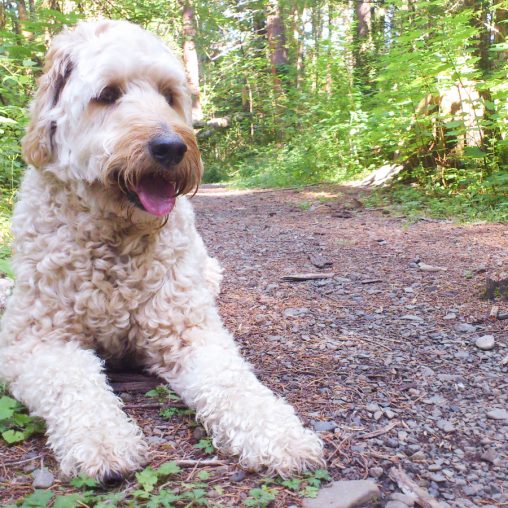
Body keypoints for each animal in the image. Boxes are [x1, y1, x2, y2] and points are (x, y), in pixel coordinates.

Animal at [0, 20, 324, 481]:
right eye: (108, 94)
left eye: (169, 95)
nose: (171, 147)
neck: (115, 240)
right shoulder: (33, 341)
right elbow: (74, 384)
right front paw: (103, 441)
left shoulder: (190, 332)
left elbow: (233, 380)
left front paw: (277, 433)